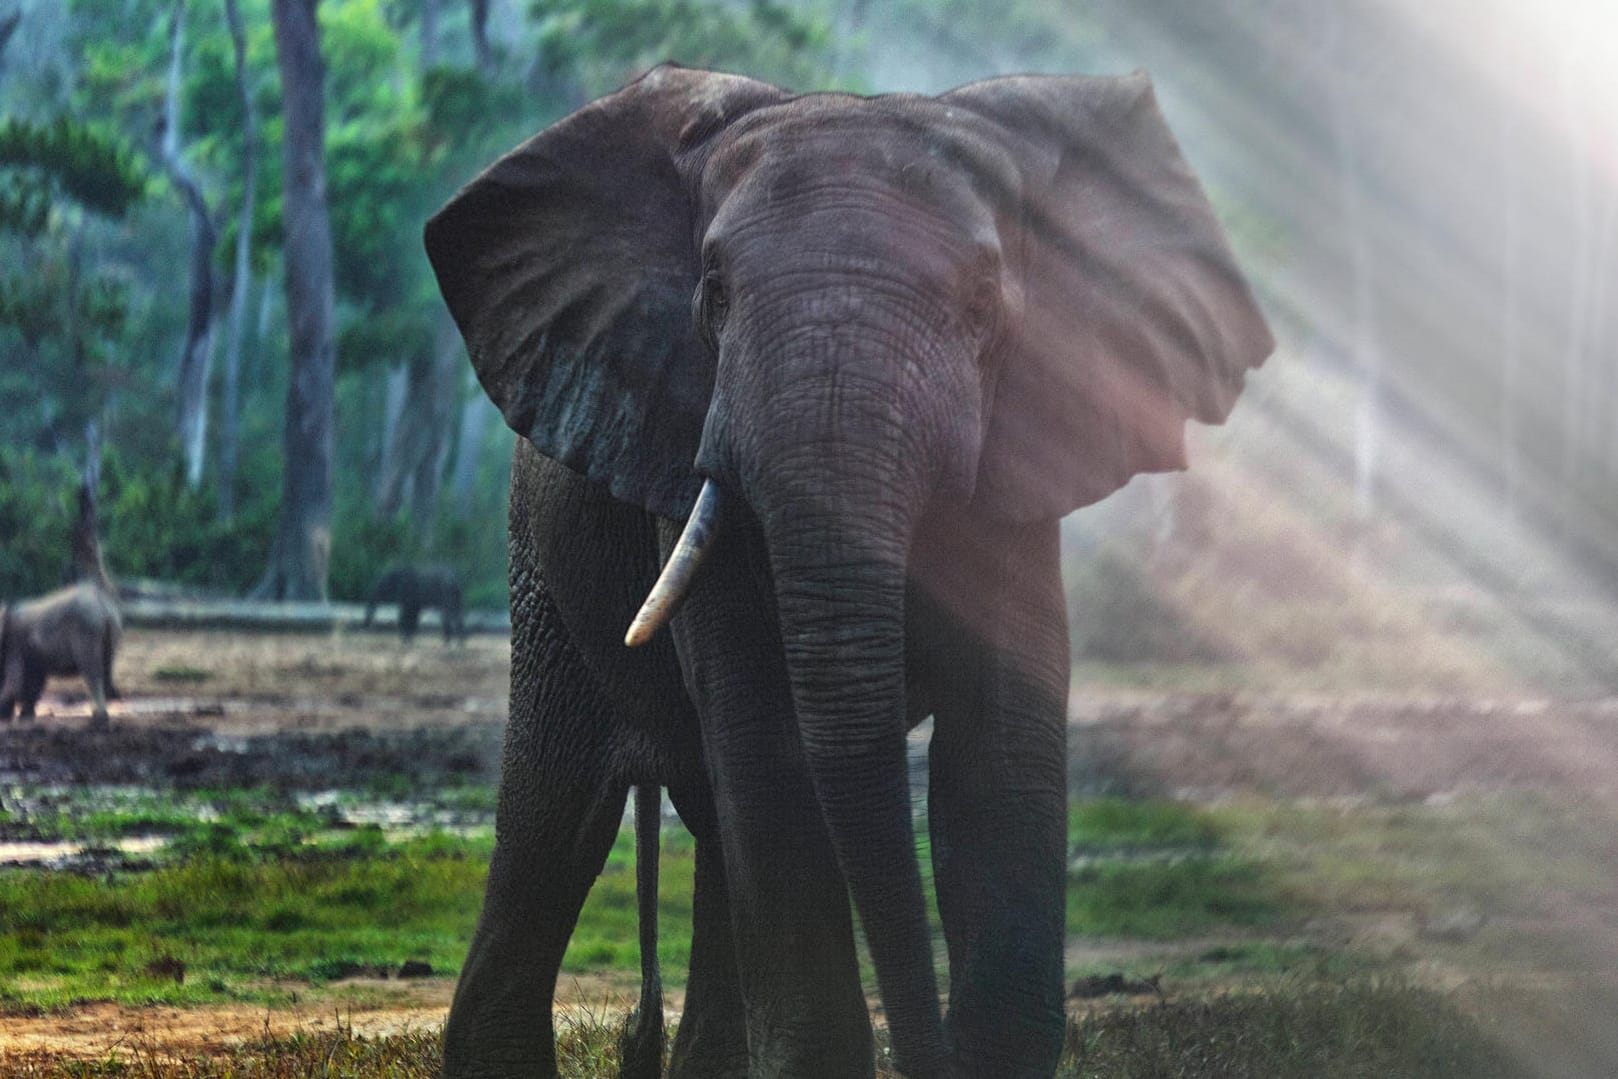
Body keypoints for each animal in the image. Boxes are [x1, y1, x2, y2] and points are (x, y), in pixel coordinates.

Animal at [427, 67, 1274, 1079]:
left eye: (985, 301)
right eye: (714, 289)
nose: (924, 1060)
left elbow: (1000, 749)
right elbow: (764, 739)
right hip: (541, 573)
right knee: (556, 813)